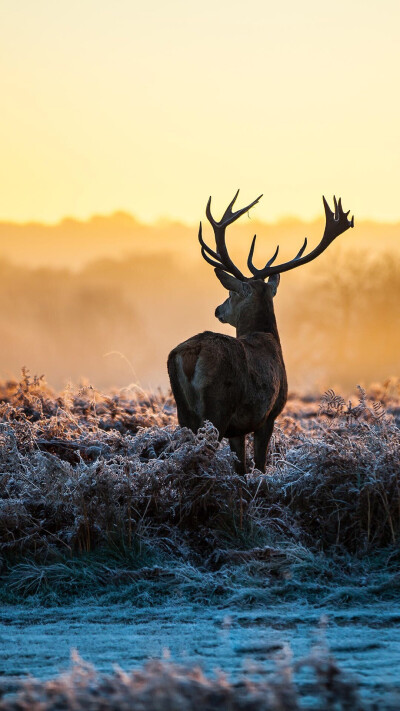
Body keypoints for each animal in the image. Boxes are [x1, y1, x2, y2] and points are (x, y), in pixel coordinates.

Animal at [166, 192, 354, 476]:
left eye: (231, 293)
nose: (218, 309)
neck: (267, 337)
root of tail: (191, 354)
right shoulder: (268, 415)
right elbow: (260, 465)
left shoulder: (238, 429)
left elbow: (241, 467)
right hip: (218, 407)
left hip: (184, 412)